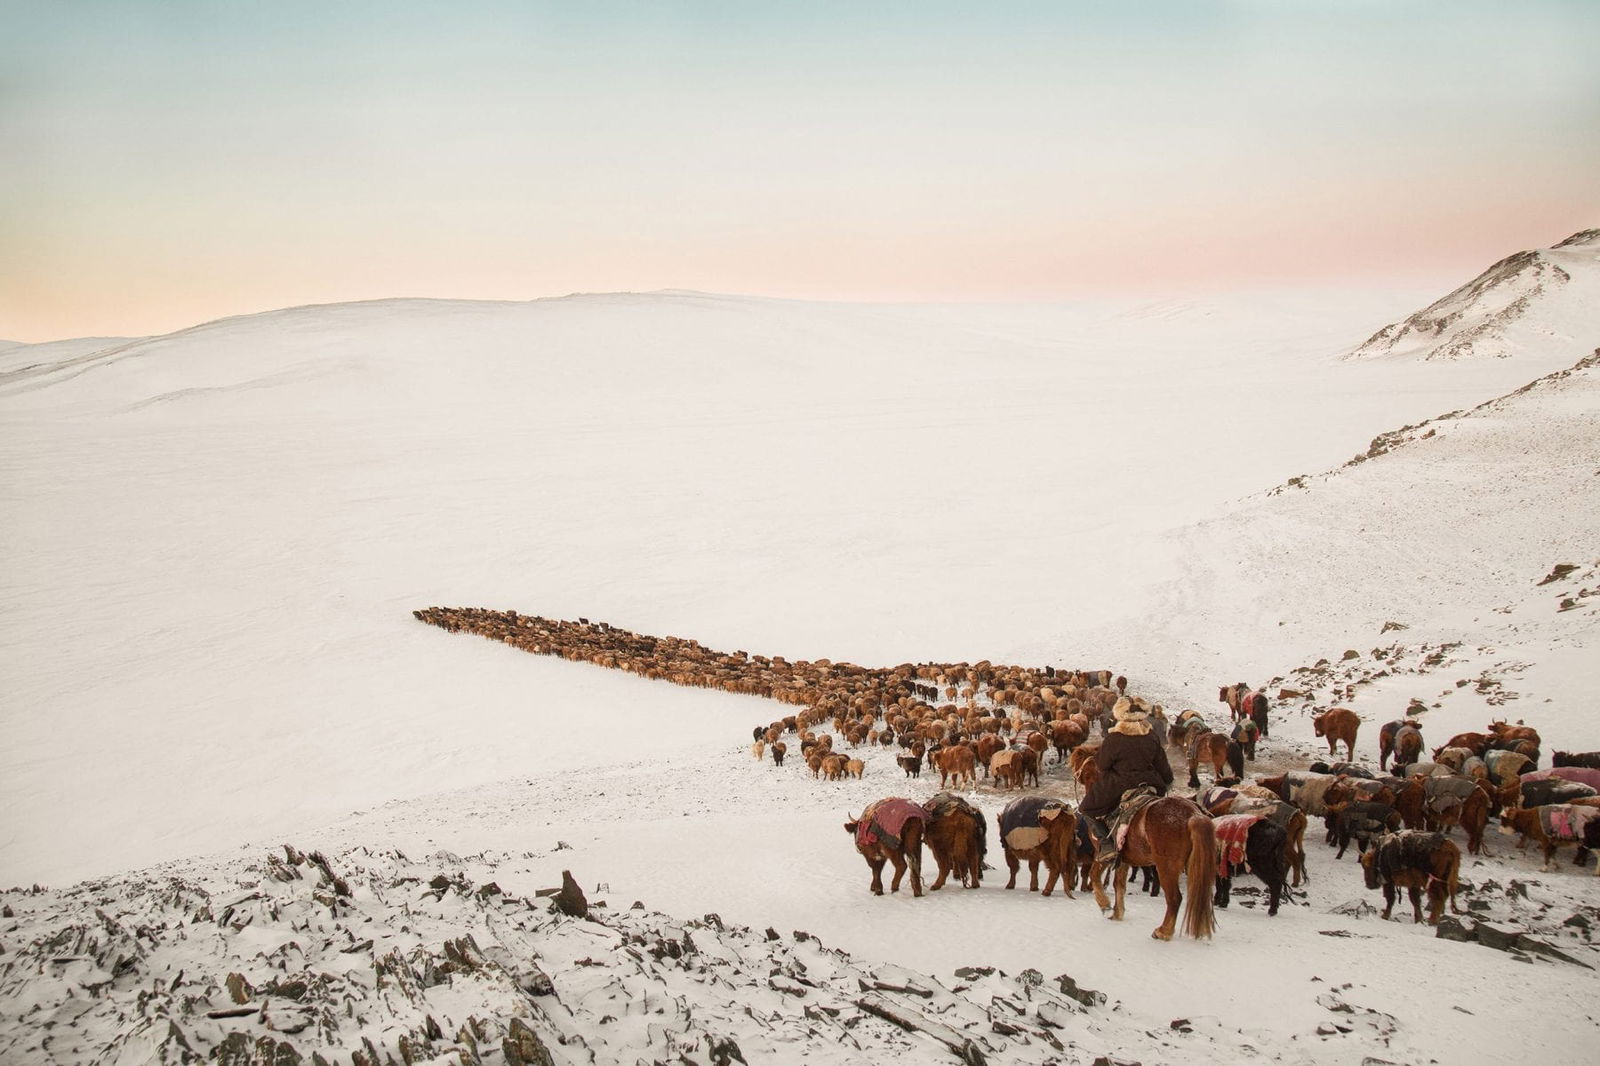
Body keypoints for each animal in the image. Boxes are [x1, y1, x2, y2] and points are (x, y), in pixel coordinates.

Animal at [1088, 793, 1222, 934]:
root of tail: (1193, 814)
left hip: (1166, 867)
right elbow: (1118, 885)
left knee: (1175, 898)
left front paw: (1104, 904)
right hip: (1194, 866)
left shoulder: (1102, 855)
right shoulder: (1123, 860)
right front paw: (1117, 913)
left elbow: (1094, 875)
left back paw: (1164, 931)